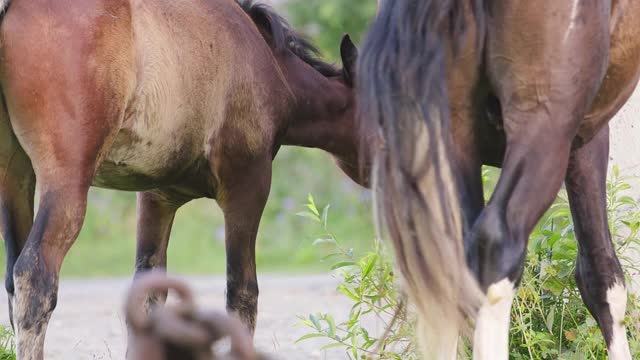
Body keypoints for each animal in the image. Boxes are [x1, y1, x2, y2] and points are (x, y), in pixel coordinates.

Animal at [0, 0, 364, 358]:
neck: (269, 66)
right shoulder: (248, 185)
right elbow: (242, 293)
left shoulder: (156, 197)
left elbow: (148, 295)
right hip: (65, 184)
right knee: (35, 278)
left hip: (15, 180)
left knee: (13, 281)